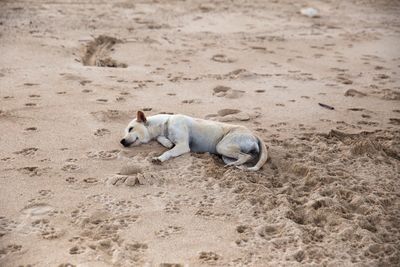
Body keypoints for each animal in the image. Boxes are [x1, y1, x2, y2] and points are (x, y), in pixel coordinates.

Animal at [119, 111, 268, 172]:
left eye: (131, 129)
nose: (122, 141)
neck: (166, 122)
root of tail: (254, 135)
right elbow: (164, 141)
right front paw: (167, 143)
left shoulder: (183, 146)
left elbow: (168, 153)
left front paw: (159, 158)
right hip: (225, 155)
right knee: (245, 158)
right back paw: (234, 166)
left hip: (222, 146)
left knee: (246, 156)